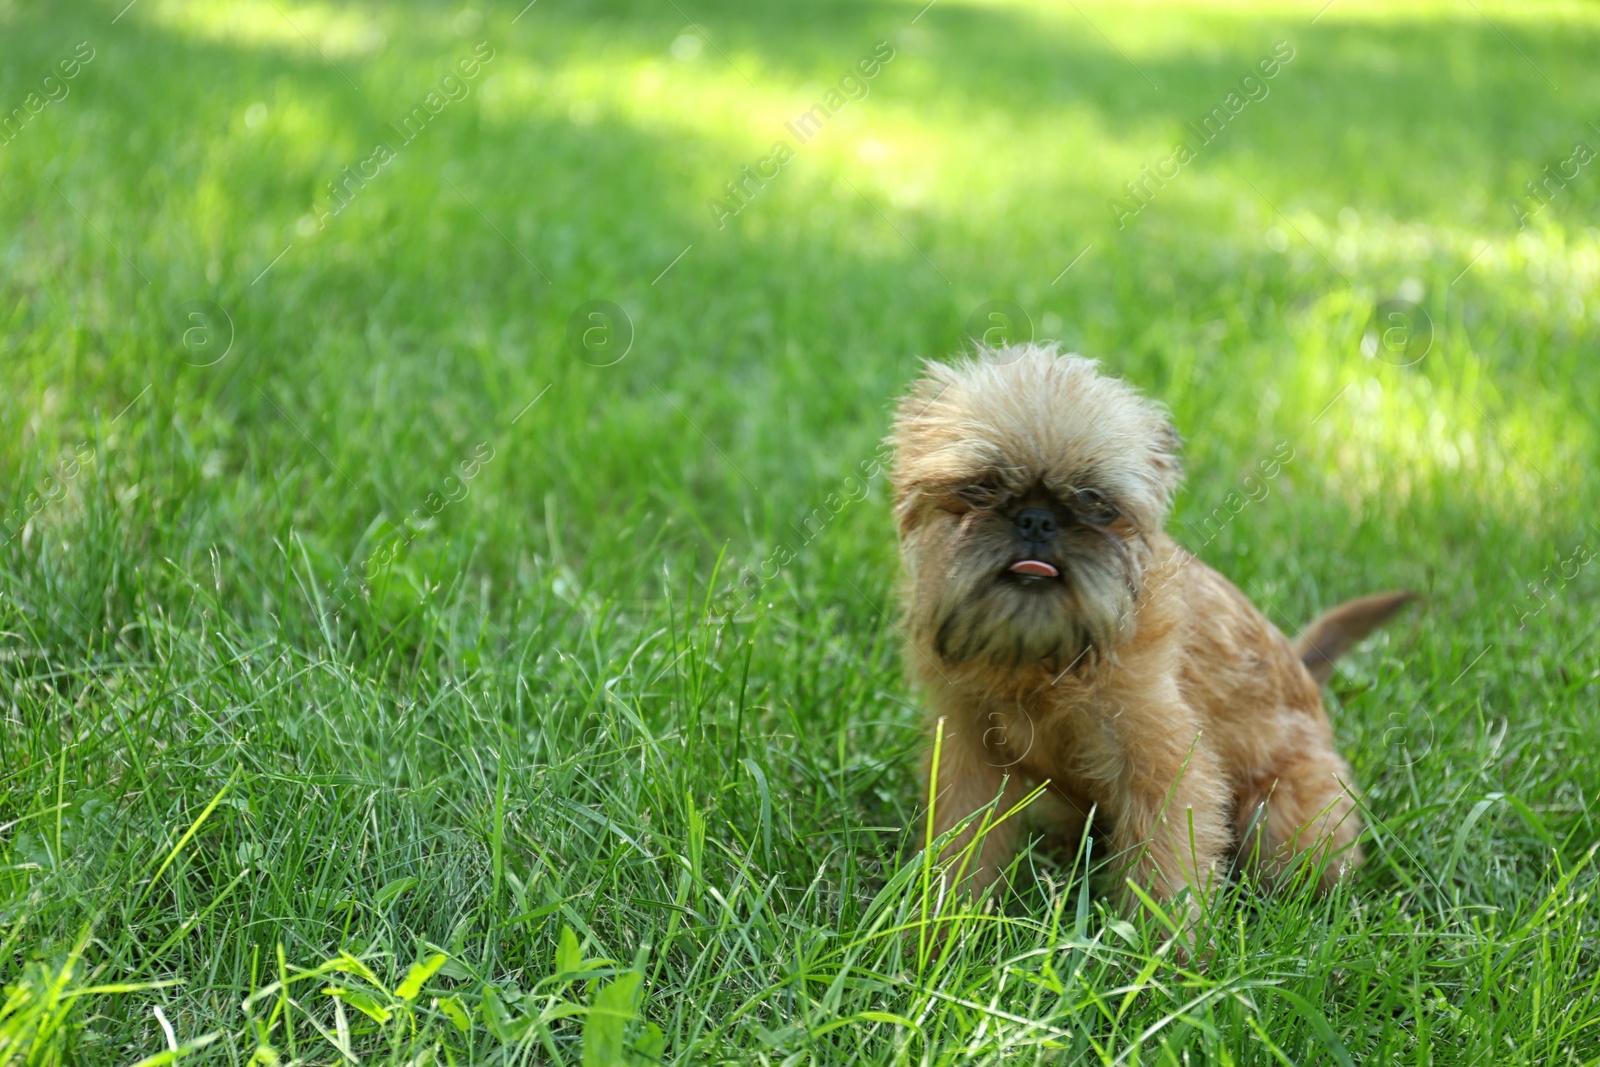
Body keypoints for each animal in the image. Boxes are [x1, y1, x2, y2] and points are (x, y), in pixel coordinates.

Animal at [889, 348, 1414, 934]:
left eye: (1096, 503)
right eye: (980, 488)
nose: (1037, 520)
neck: (1043, 661)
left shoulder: (1166, 764)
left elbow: (1168, 868)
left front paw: (1161, 950)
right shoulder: (969, 756)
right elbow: (964, 847)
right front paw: (942, 930)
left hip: (1284, 818)